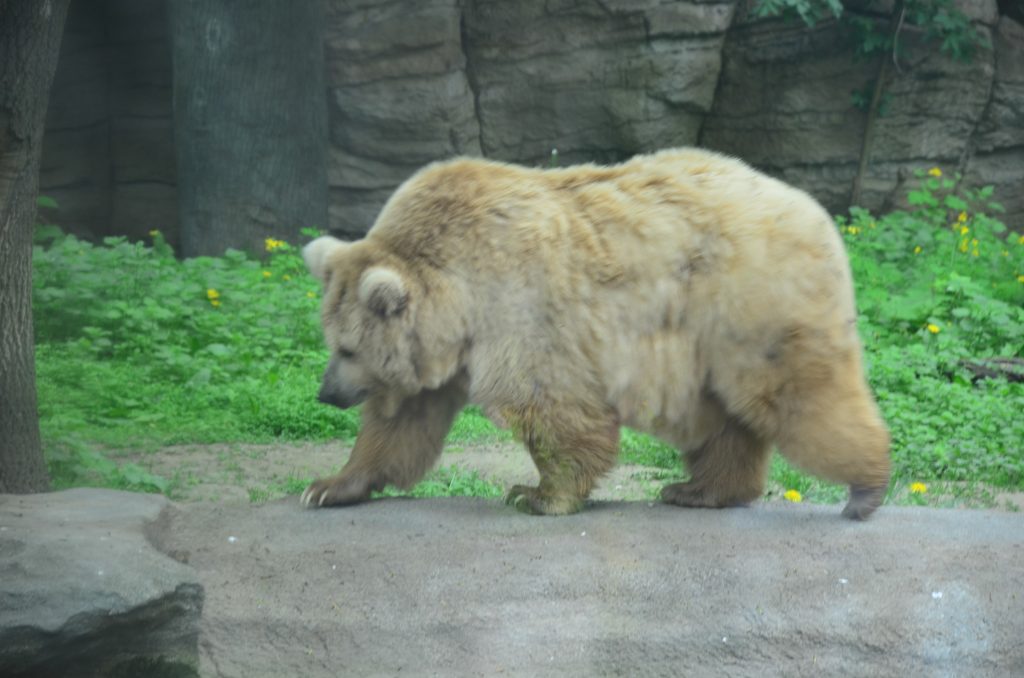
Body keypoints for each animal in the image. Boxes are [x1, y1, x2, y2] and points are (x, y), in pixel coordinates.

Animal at [301, 147, 888, 520]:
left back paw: (866, 486)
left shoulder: (518, 304)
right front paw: (329, 487)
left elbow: (548, 404)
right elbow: (401, 424)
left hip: (749, 304)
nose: (327, 393)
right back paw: (699, 489)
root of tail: (810, 207)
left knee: (799, 393)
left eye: (347, 348)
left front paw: (536, 494)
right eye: (332, 342)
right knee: (725, 418)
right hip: (706, 344)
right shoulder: (443, 352)